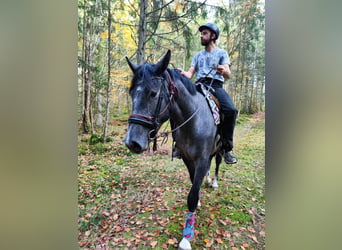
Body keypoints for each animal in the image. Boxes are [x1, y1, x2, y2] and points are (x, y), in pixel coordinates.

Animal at [124, 50, 223, 250]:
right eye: (131, 93)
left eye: (153, 93)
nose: (132, 142)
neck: (194, 121)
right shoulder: (187, 158)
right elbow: (194, 183)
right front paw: (199, 197)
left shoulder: (201, 159)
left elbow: (191, 196)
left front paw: (186, 238)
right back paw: (208, 180)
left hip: (220, 147)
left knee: (216, 162)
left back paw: (214, 181)